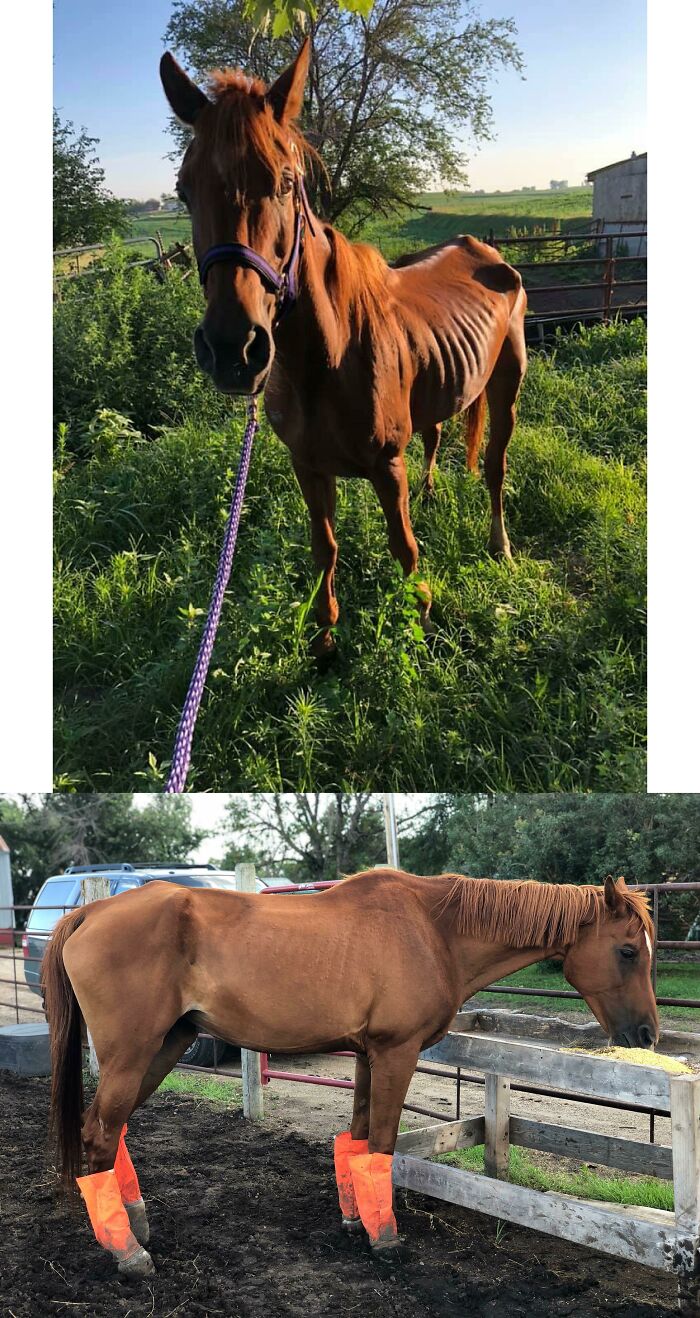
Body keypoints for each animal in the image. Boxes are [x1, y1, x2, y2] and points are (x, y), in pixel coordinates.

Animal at [42, 869, 657, 1277]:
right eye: (628, 950)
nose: (648, 1034)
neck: (433, 930)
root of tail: (90, 913)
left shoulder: (367, 1055)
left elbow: (357, 1141)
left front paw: (355, 1222)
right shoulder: (396, 1052)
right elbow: (381, 1145)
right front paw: (385, 1241)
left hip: (166, 1045)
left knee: (111, 1130)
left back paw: (134, 1223)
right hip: (133, 1052)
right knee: (99, 1132)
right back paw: (128, 1253)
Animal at [159, 41, 528, 655]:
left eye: (286, 182)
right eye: (184, 190)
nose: (233, 349)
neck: (327, 360)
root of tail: (485, 250)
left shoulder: (386, 466)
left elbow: (406, 551)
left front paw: (421, 624)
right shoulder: (309, 466)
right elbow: (324, 549)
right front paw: (325, 640)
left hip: (507, 382)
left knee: (495, 465)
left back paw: (500, 546)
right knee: (437, 435)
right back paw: (432, 493)